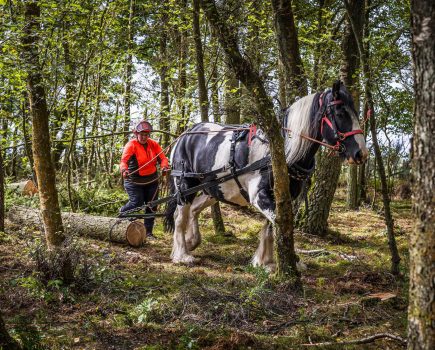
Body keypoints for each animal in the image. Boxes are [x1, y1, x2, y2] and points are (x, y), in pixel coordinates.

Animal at [165, 80, 370, 270]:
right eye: (340, 113)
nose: (361, 153)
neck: (282, 151)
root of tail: (185, 134)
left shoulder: (282, 197)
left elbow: (272, 227)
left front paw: (266, 261)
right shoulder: (260, 195)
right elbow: (282, 225)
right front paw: (292, 260)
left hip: (213, 190)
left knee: (194, 209)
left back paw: (191, 241)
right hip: (185, 185)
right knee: (180, 216)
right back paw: (182, 255)